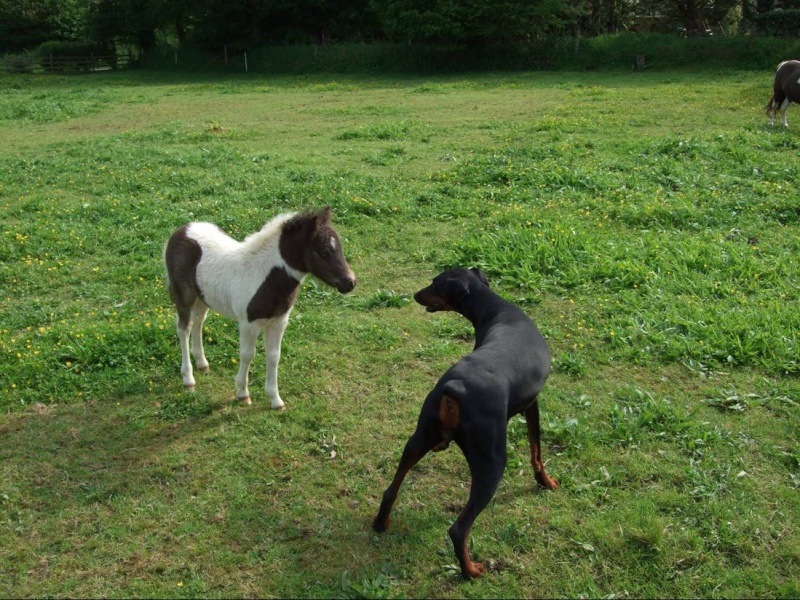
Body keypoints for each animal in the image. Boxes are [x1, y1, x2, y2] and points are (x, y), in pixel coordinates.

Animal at [162, 209, 356, 410]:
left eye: (339, 247)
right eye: (324, 251)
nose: (350, 282)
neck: (268, 277)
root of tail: (181, 230)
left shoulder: (279, 321)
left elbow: (274, 356)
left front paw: (275, 400)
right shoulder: (249, 323)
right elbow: (247, 355)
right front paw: (242, 393)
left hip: (203, 296)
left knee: (198, 322)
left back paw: (202, 364)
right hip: (184, 295)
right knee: (183, 328)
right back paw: (188, 379)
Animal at [374, 268, 556, 576]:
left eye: (435, 283)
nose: (416, 294)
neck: (497, 309)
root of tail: (454, 388)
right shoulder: (532, 404)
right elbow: (536, 450)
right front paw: (546, 481)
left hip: (419, 438)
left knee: (390, 490)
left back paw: (380, 525)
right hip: (492, 463)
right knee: (459, 529)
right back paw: (471, 571)